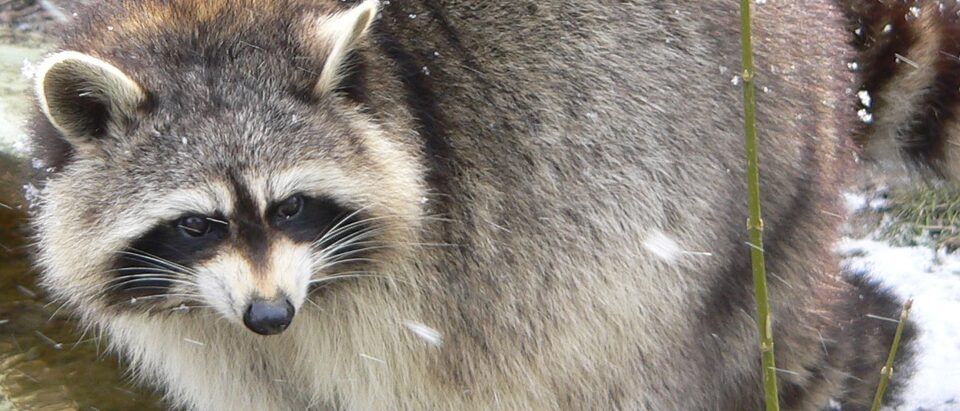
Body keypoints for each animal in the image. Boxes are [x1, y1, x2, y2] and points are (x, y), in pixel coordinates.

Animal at [28, 0, 916, 410]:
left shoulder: (428, 290)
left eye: (291, 209)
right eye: (195, 224)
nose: (270, 315)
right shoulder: (223, 339)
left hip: (700, 227)